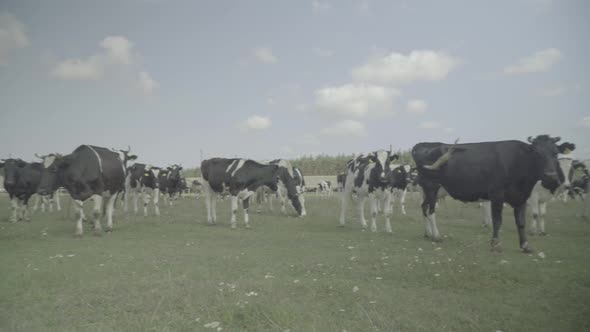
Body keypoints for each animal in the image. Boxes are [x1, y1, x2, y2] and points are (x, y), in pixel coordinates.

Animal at [414, 135, 572, 252]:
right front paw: (495, 244)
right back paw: (436, 236)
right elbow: (497, 221)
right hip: (431, 187)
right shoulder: (497, 195)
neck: (517, 162)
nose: (550, 175)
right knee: (431, 210)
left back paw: (428, 234)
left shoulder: (521, 197)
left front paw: (525, 245)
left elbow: (521, 222)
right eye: (537, 154)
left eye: (555, 153)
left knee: (424, 207)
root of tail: (423, 145)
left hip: (432, 191)